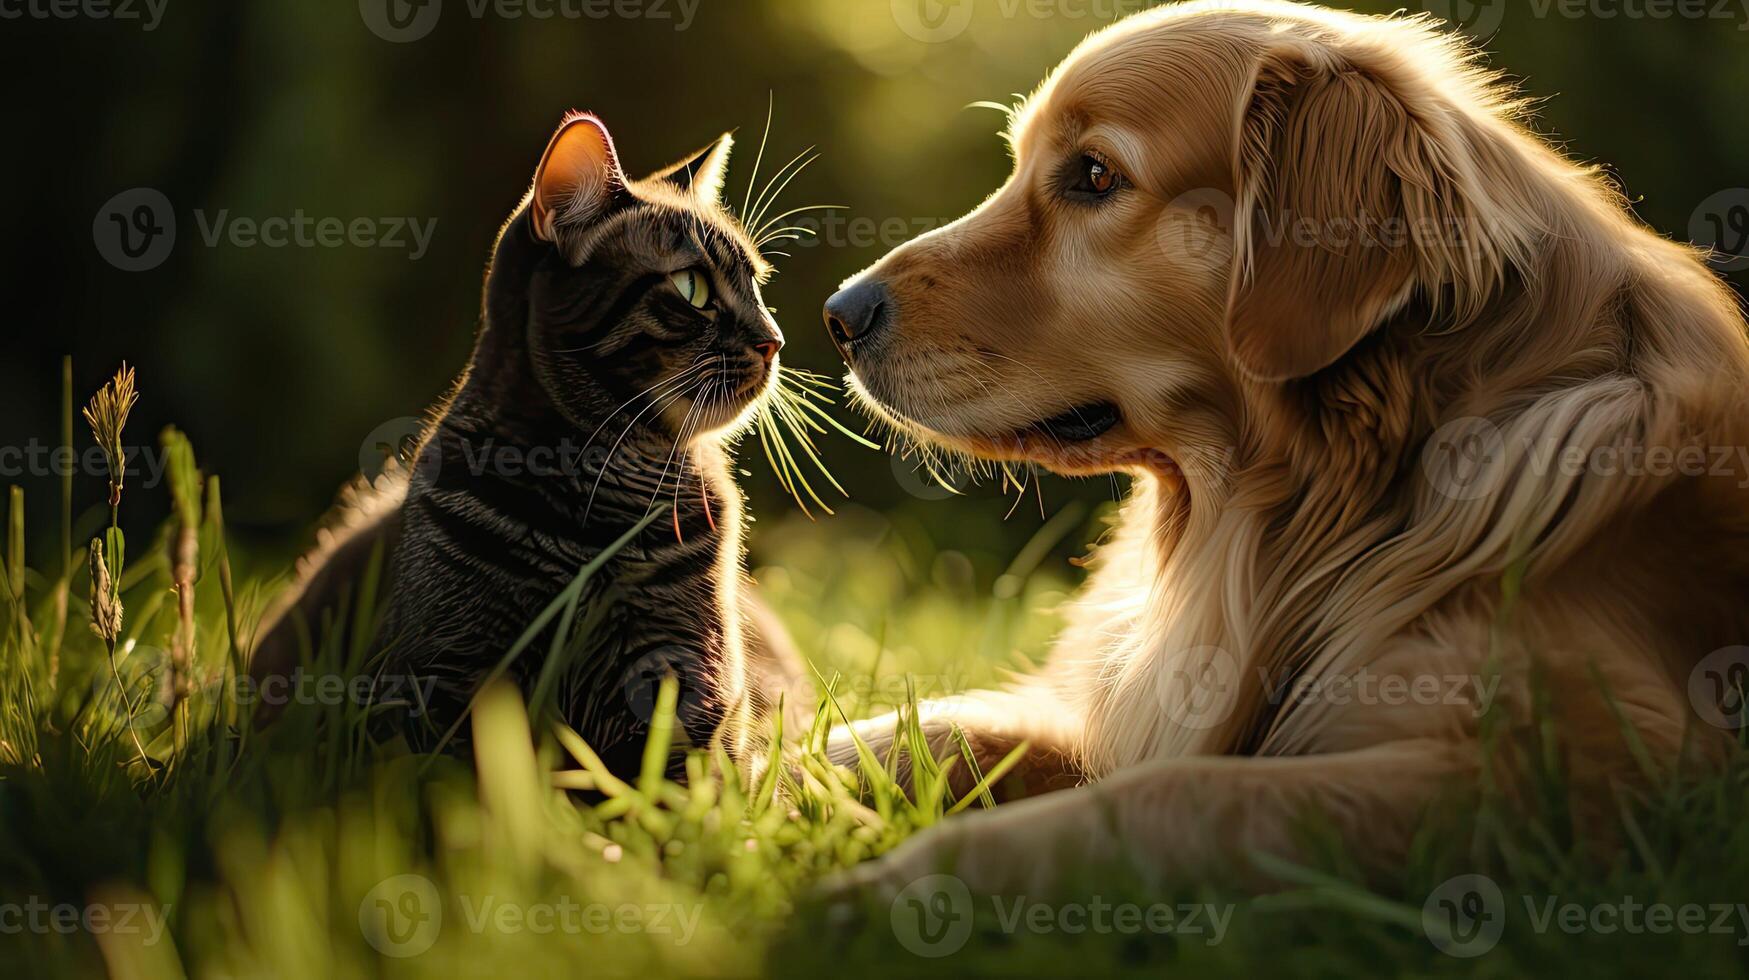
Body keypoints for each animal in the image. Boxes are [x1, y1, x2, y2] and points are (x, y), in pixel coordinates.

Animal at [248, 112, 804, 773]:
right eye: (691, 287)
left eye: (758, 284)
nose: (775, 339)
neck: (597, 494)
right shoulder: (440, 679)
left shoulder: (689, 678)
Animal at [818, 0, 1749, 903]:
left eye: (1095, 175)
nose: (840, 314)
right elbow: (931, 727)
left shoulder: (1567, 771)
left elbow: (1176, 793)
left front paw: (885, 888)